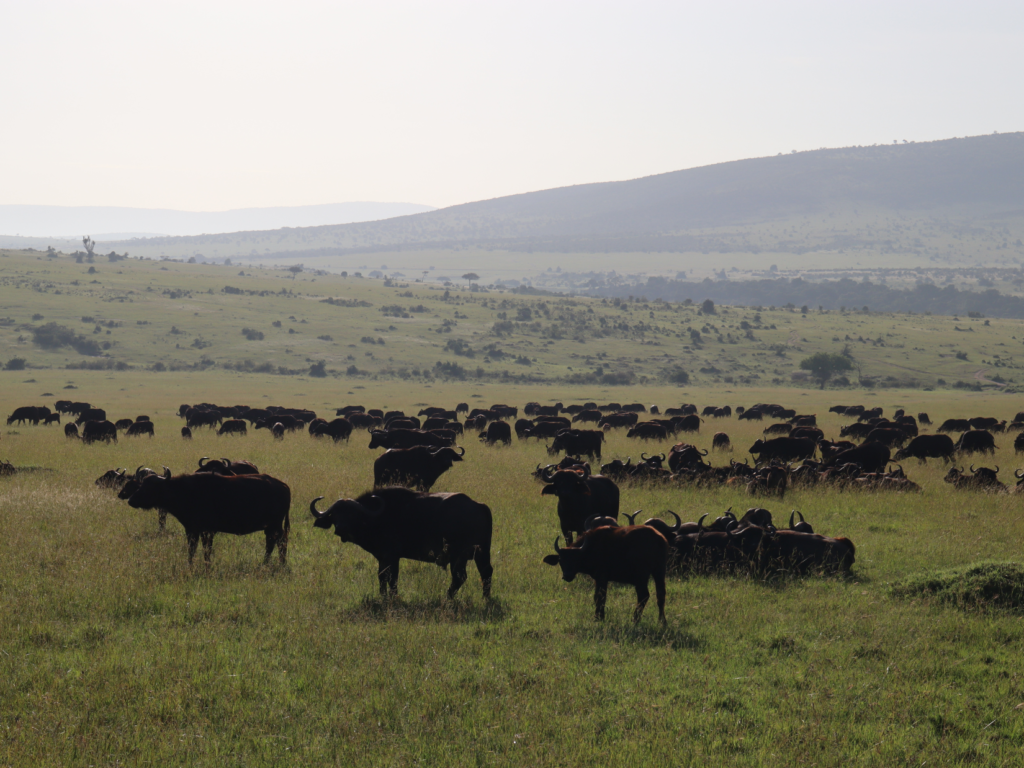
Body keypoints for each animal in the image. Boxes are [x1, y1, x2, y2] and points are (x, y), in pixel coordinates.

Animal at [127, 468, 290, 565]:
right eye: (142, 484)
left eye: (152, 486)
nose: (131, 500)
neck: (184, 491)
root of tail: (283, 486)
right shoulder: (191, 530)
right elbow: (192, 549)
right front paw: (191, 565)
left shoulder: (207, 531)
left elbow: (206, 550)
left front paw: (206, 566)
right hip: (271, 527)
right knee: (273, 543)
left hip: (275, 525)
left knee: (279, 542)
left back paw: (278, 563)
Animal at [307, 487, 491, 602]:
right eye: (335, 514)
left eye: (352, 514)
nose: (340, 528)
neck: (378, 517)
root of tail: (480, 506)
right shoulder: (384, 557)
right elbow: (384, 576)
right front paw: (385, 596)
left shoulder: (392, 556)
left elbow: (391, 578)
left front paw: (391, 597)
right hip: (479, 554)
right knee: (483, 573)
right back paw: (485, 598)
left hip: (461, 555)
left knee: (461, 577)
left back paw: (448, 598)